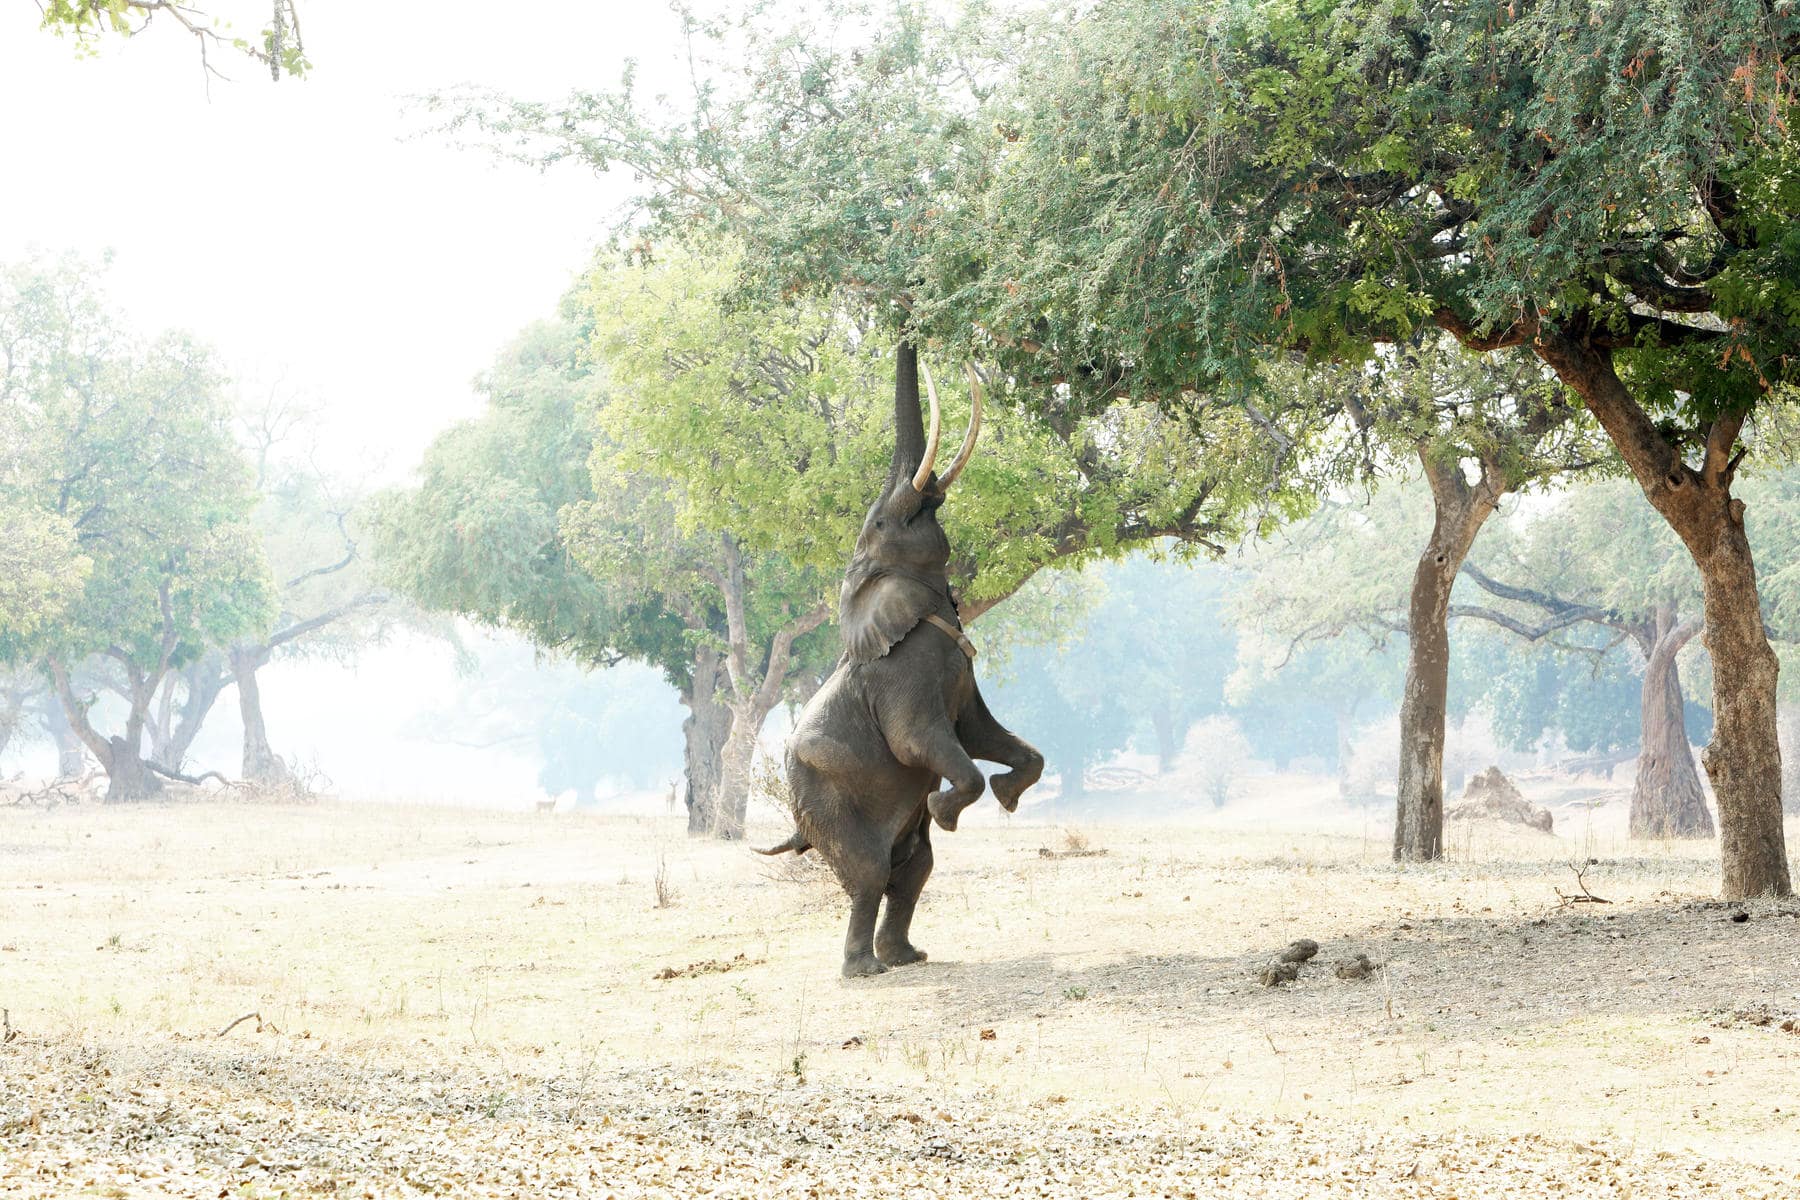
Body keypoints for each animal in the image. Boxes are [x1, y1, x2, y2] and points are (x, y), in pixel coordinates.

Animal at [758, 341, 1044, 978]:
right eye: (885, 522)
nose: (906, 329)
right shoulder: (900, 679)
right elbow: (919, 742)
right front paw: (945, 807)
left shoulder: (962, 670)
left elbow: (984, 733)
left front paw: (1008, 796)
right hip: (823, 798)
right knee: (870, 872)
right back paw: (864, 971)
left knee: (913, 870)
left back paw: (908, 957)